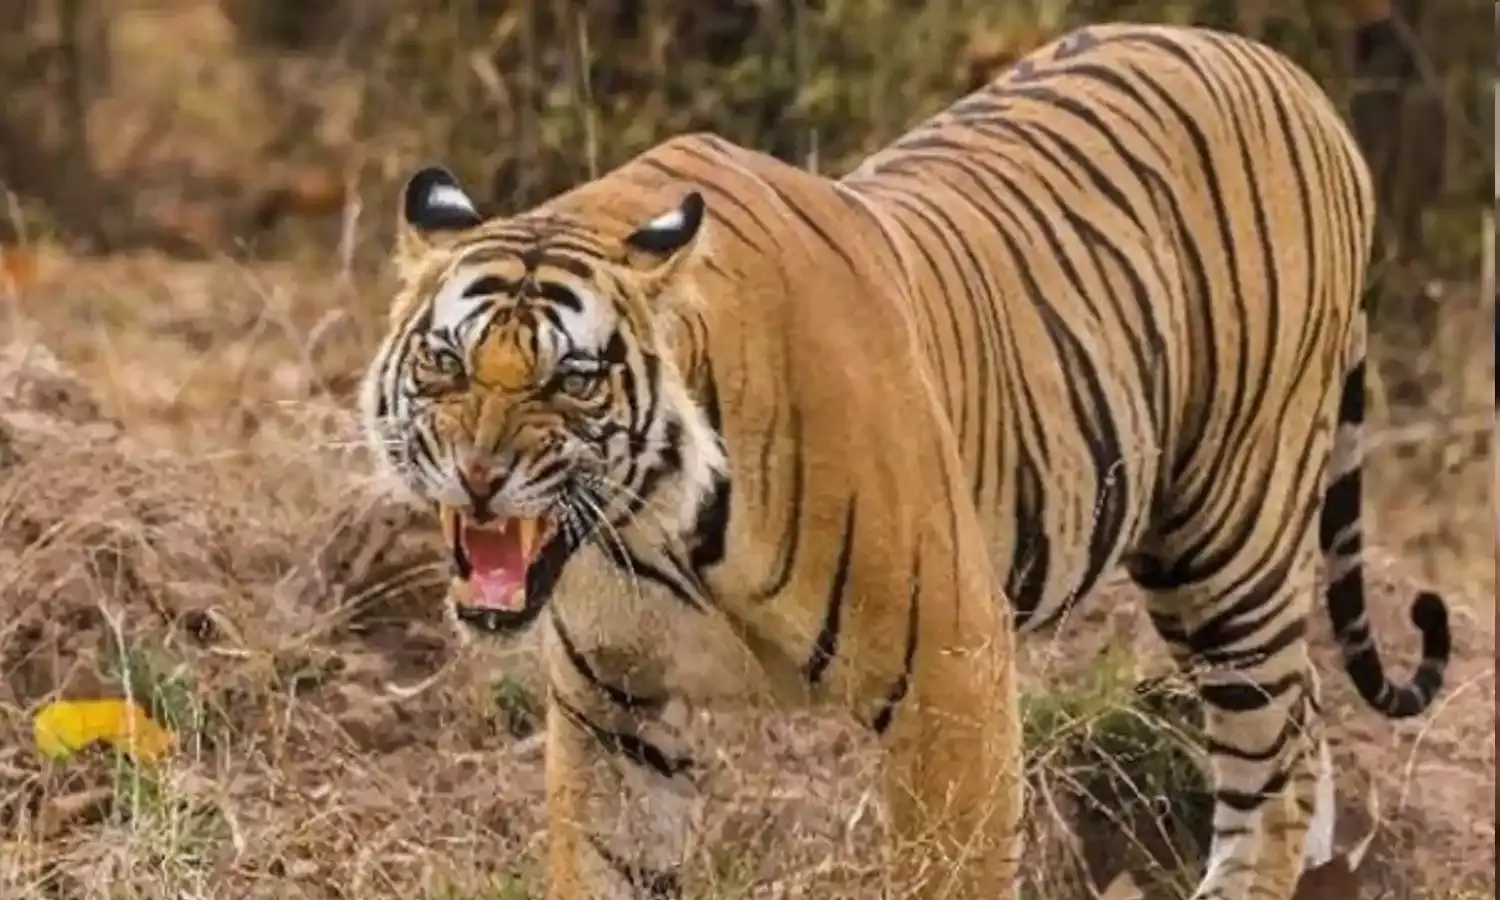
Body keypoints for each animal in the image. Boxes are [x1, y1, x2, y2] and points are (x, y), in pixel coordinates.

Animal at [358, 22, 1452, 900]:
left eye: (572, 379)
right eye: (445, 360)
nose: (479, 474)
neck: (650, 523)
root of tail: (1288, 73)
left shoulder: (953, 673)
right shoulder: (613, 707)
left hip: (1228, 542)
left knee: (1277, 760)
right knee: (1302, 728)